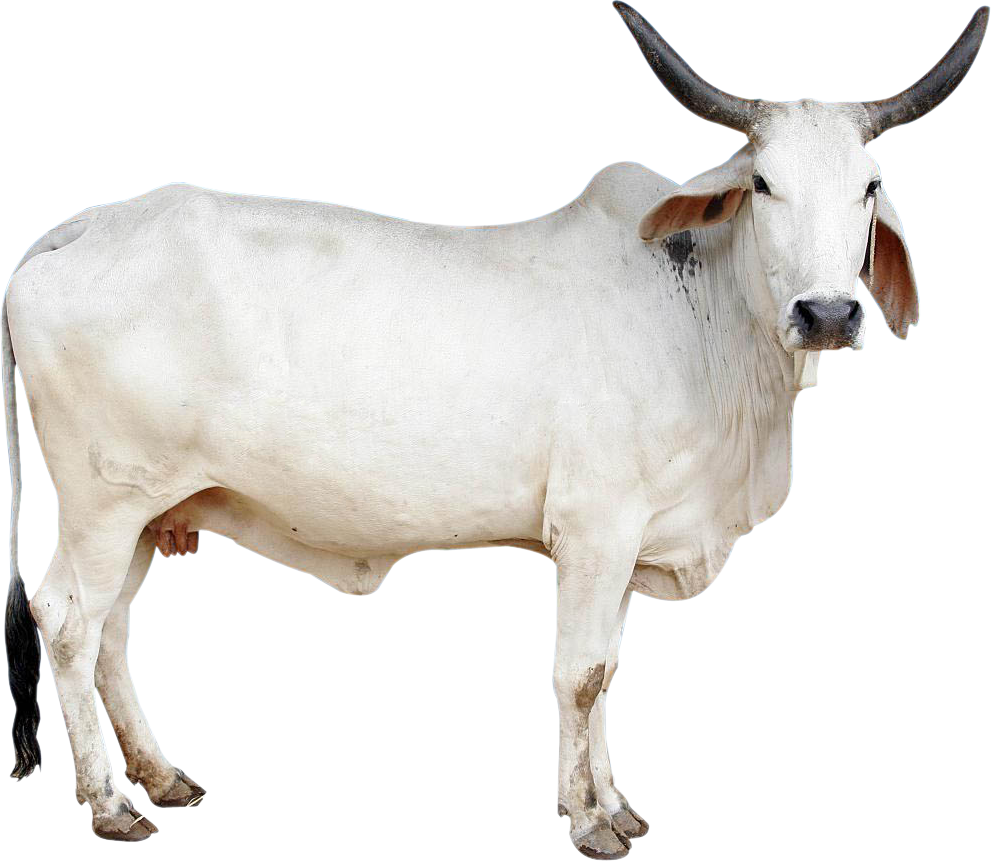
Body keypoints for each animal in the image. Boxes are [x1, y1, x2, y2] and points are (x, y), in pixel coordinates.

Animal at [2, 2, 987, 857]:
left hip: (147, 512)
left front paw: (614, 801)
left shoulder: (628, 544)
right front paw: (588, 820)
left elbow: (609, 671)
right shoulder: (594, 529)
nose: (826, 313)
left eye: (868, 185)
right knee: (66, 620)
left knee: (113, 631)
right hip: (100, 505)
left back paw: (161, 775)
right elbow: (578, 672)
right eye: (762, 183)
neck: (702, 317)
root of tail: (79, 225)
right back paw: (109, 802)